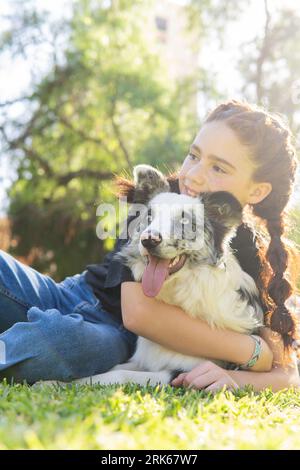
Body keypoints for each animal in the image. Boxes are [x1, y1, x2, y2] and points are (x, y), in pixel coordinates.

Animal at [49, 165, 264, 386]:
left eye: (185, 221)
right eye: (149, 217)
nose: (148, 240)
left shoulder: (179, 372)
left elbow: (117, 374)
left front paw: (55, 383)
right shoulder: (143, 360)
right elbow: (113, 368)